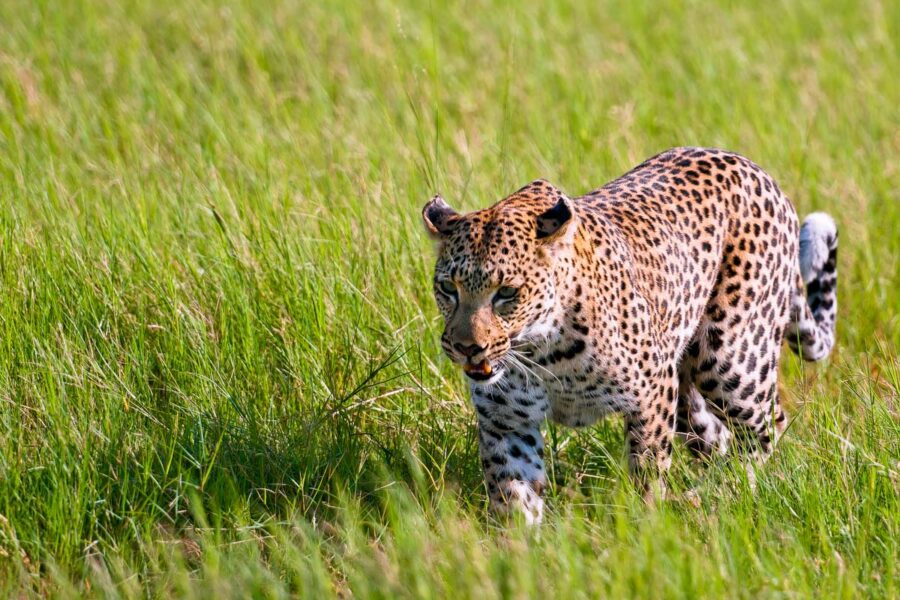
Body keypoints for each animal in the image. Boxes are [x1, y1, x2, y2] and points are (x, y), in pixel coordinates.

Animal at [422, 147, 837, 524]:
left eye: (507, 293)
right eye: (448, 288)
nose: (466, 348)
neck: (542, 352)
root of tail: (756, 170)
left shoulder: (652, 395)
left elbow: (647, 471)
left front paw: (645, 529)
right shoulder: (506, 422)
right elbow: (513, 495)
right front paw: (519, 550)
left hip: (730, 360)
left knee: (767, 426)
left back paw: (730, 491)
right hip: (686, 390)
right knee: (716, 439)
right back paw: (705, 493)